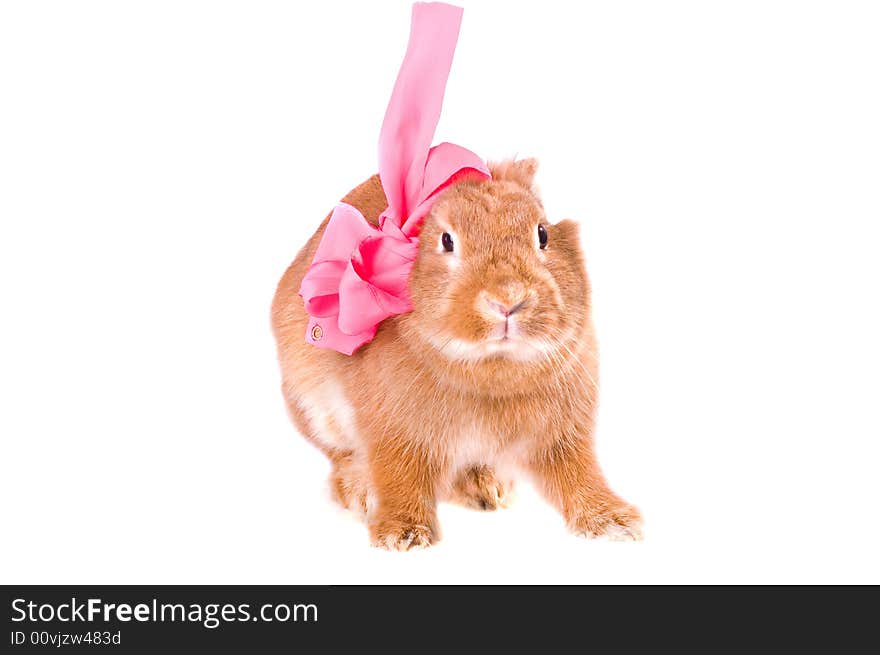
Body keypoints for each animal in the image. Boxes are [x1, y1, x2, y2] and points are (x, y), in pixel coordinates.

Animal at [272, 161, 644, 552]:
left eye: (542, 234)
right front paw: (402, 535)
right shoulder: (396, 434)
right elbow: (398, 477)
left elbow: (578, 476)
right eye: (447, 240)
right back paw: (362, 492)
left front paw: (615, 524)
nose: (507, 299)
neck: (494, 368)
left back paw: (488, 489)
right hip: (314, 406)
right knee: (342, 457)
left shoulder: (562, 437)